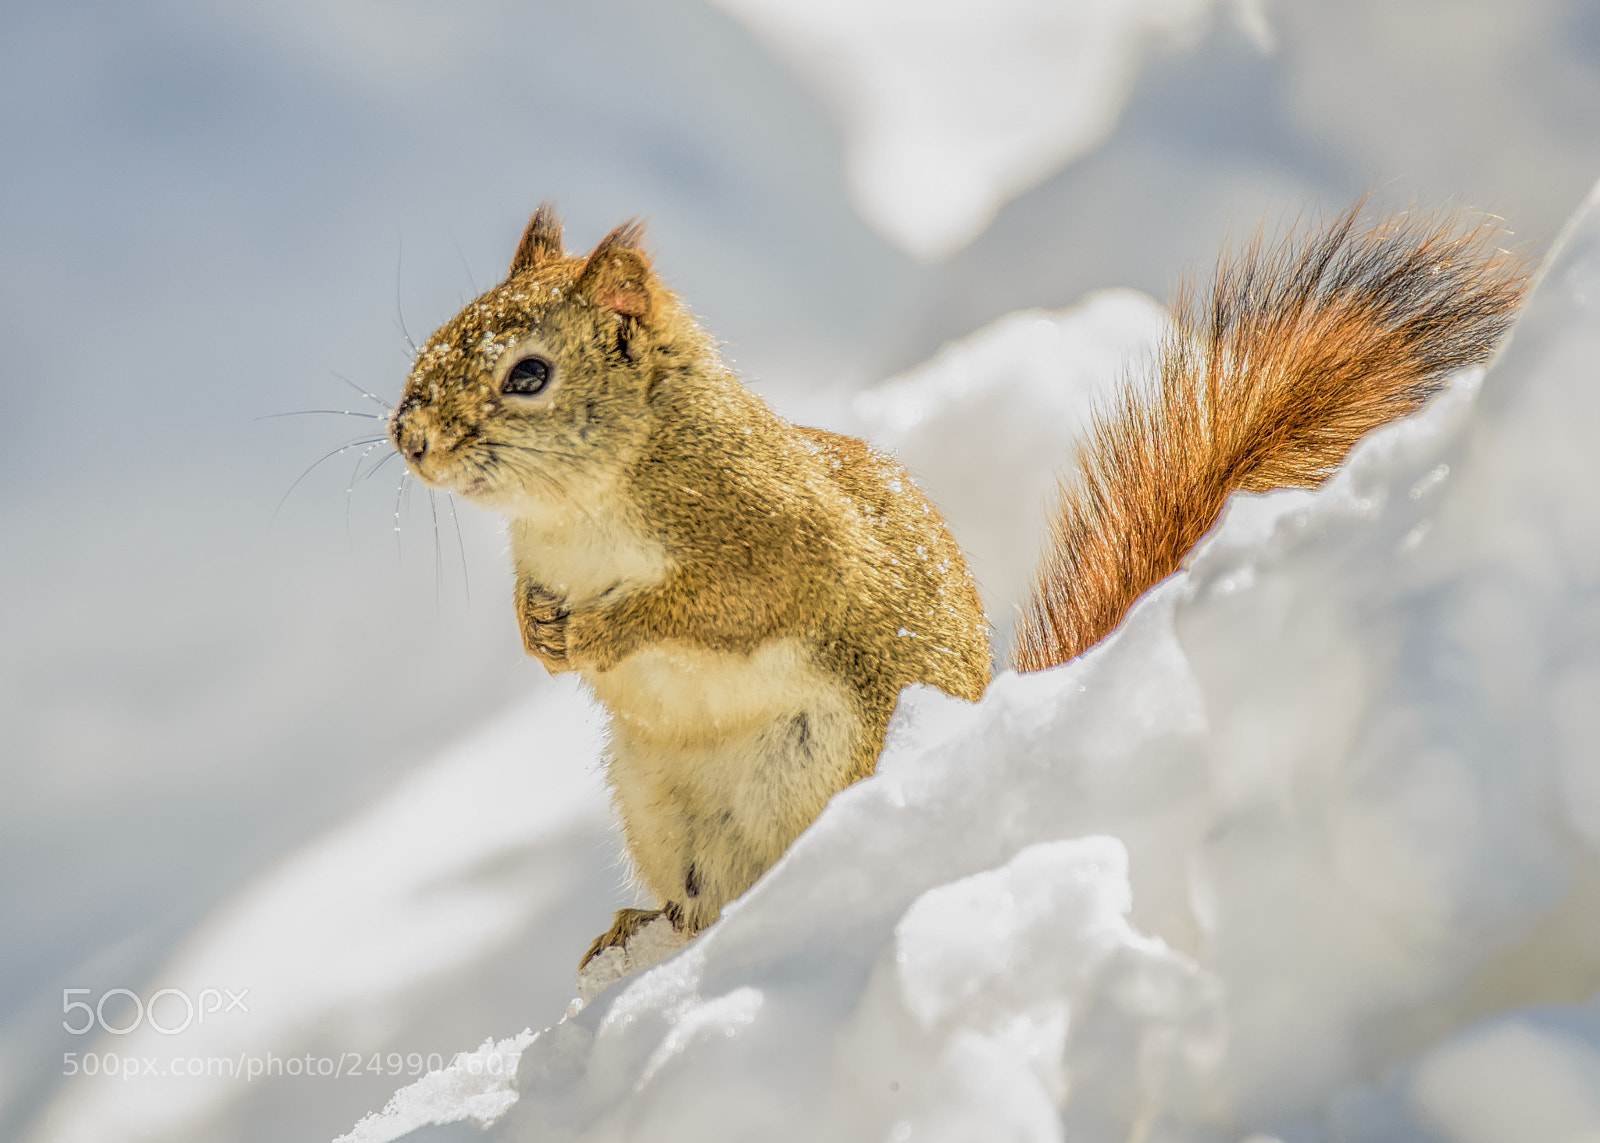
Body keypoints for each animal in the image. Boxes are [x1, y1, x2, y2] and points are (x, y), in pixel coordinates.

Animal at [388, 202, 1527, 974]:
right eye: (439, 335)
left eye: (526, 374)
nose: (408, 437)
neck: (576, 510)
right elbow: (533, 606)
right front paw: (537, 631)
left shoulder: (772, 538)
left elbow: (719, 603)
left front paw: (605, 631)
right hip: (656, 803)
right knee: (694, 898)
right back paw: (641, 927)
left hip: (820, 771)